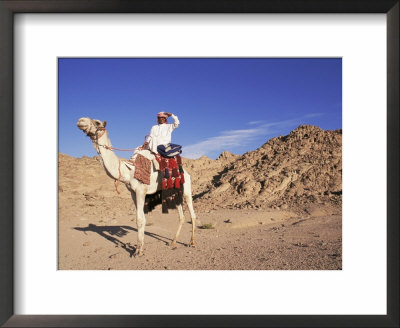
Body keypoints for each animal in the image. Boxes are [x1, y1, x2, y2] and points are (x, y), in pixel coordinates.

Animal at [76, 117, 197, 256]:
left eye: (97, 122)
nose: (81, 120)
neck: (128, 171)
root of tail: (186, 172)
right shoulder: (133, 193)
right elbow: (141, 219)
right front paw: (140, 247)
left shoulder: (141, 191)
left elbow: (140, 219)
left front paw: (137, 251)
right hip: (173, 192)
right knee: (181, 217)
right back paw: (173, 242)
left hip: (186, 188)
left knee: (192, 214)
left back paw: (192, 242)